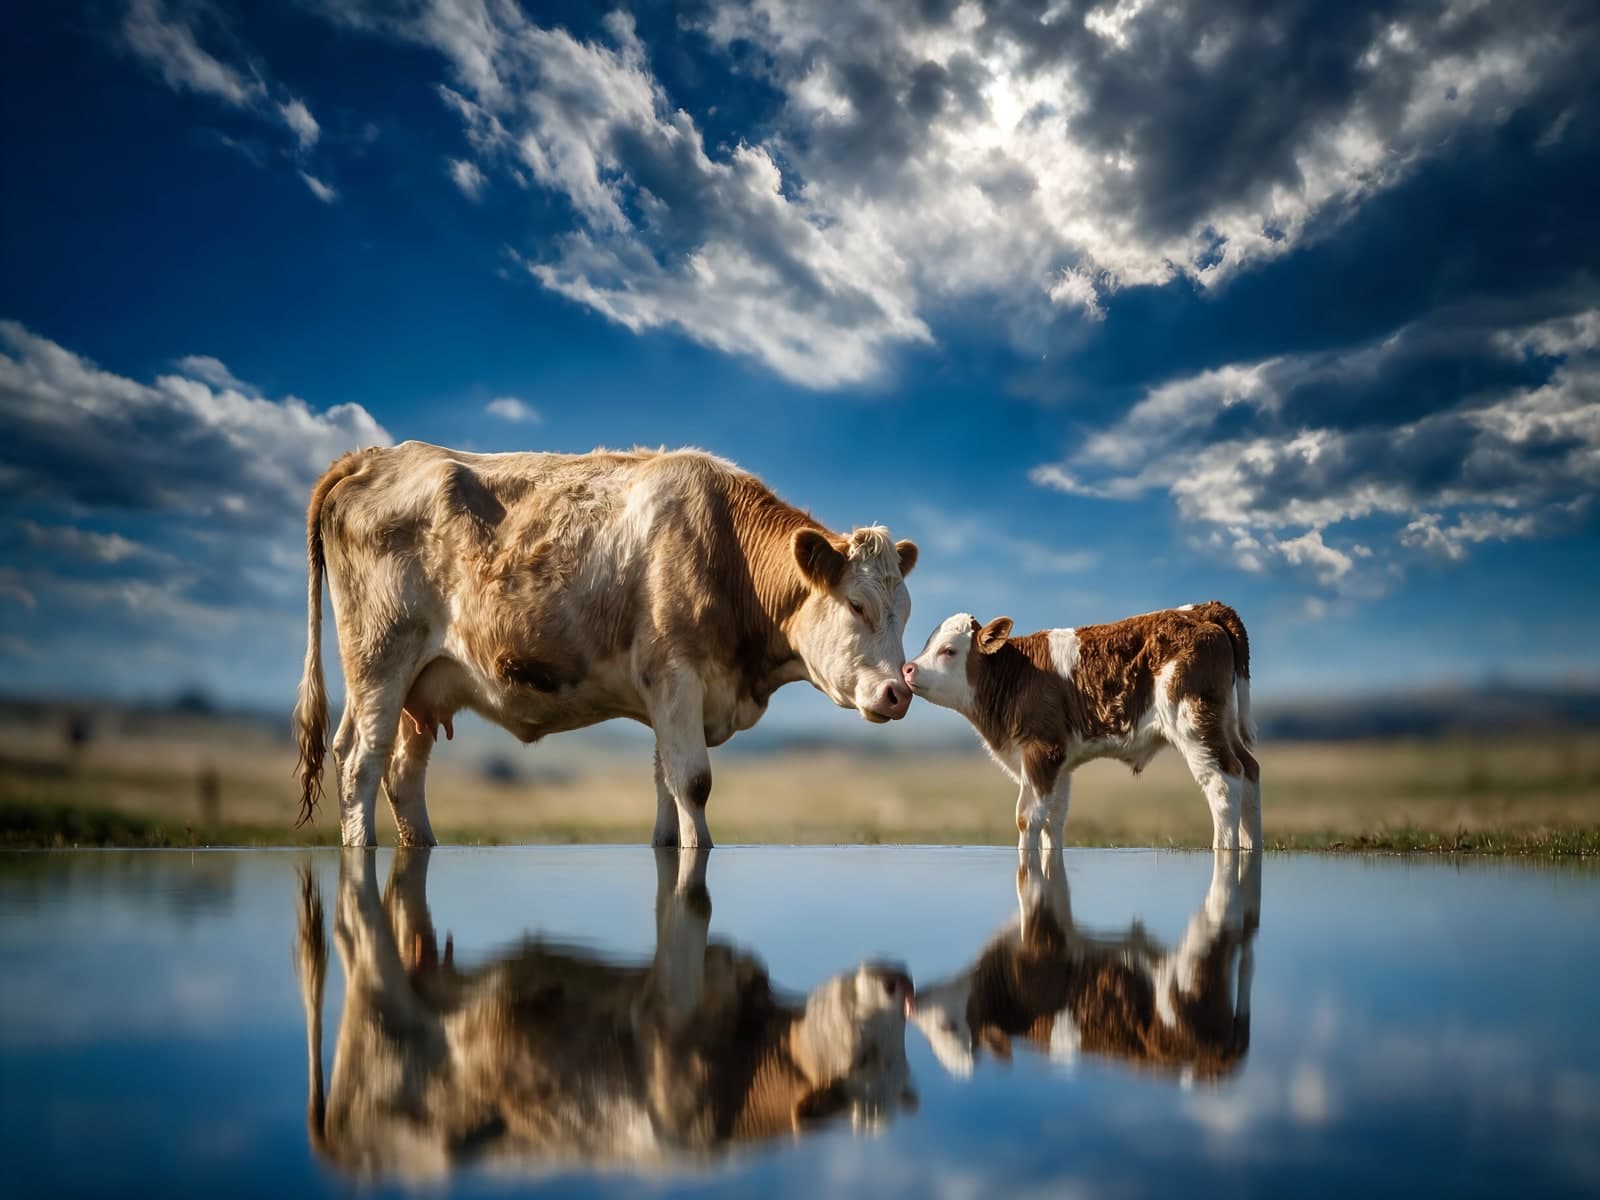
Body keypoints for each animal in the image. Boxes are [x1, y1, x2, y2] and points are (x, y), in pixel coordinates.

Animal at [292, 444, 919, 847]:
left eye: (905, 611)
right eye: (857, 606)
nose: (899, 692)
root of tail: (371, 456)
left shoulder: (670, 699)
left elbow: (668, 789)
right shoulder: (676, 676)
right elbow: (694, 784)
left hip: (421, 686)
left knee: (403, 773)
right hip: (379, 660)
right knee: (360, 762)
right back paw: (361, 850)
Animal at [902, 602, 1259, 851]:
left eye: (949, 650)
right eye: (927, 644)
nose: (908, 668)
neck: (1017, 676)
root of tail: (1201, 609)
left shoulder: (1041, 750)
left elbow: (1028, 817)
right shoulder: (1058, 762)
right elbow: (1053, 818)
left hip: (1193, 723)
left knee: (1224, 780)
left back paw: (1225, 850)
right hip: (1223, 722)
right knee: (1250, 770)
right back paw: (1250, 847)